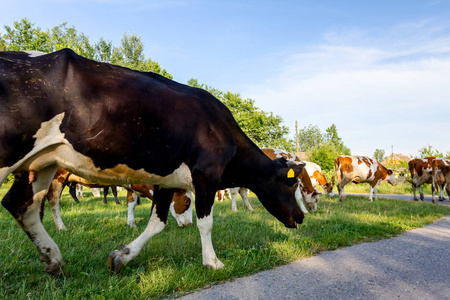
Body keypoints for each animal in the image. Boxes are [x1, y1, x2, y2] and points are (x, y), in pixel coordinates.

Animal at [0, 49, 306, 274]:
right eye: (292, 186)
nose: (302, 217)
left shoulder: (168, 181)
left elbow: (157, 223)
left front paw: (122, 256)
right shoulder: (205, 175)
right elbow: (205, 223)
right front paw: (212, 262)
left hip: (41, 162)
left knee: (20, 204)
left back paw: (53, 259)